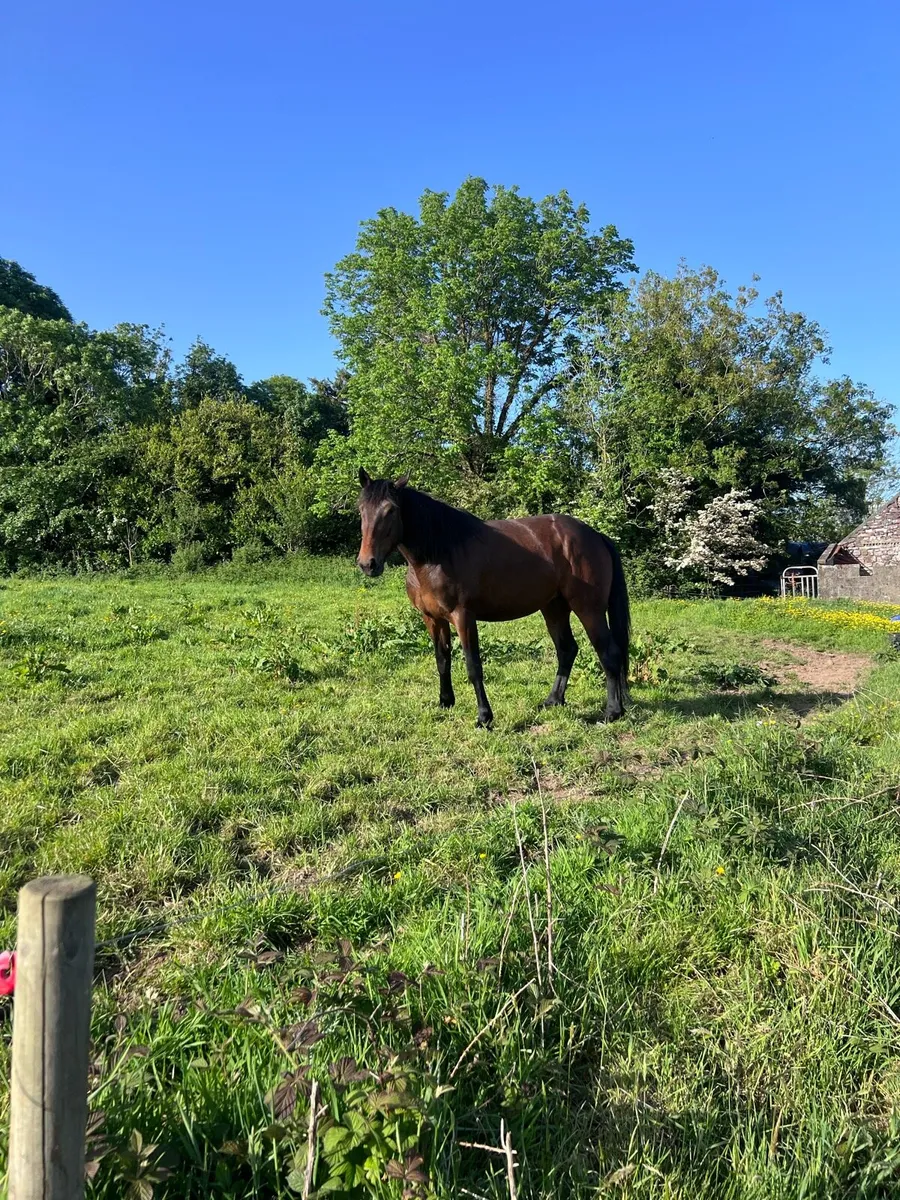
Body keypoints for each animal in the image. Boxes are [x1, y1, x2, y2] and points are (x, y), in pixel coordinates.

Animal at [355, 470, 631, 728]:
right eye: (361, 509)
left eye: (391, 510)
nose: (368, 564)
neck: (437, 554)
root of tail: (596, 535)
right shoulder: (432, 619)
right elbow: (442, 660)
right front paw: (445, 702)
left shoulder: (464, 618)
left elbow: (473, 667)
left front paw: (484, 717)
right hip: (554, 608)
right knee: (567, 650)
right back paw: (553, 700)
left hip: (589, 609)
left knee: (608, 652)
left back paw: (612, 712)